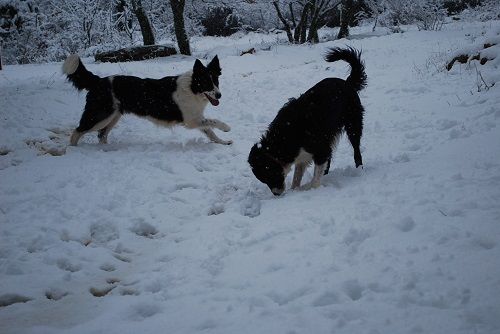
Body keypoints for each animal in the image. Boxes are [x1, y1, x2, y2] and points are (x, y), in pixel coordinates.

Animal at [61, 54, 231, 145]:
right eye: (206, 83)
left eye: (216, 81)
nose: (219, 95)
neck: (192, 88)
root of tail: (98, 81)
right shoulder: (191, 120)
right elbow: (213, 122)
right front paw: (226, 127)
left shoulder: (196, 118)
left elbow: (210, 131)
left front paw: (223, 142)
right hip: (100, 115)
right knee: (77, 131)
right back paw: (74, 149)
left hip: (113, 117)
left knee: (101, 135)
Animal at [247, 46, 368, 196]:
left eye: (269, 176)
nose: (276, 194)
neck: (284, 139)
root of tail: (347, 82)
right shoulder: (304, 155)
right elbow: (297, 176)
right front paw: (295, 190)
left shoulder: (320, 148)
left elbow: (316, 176)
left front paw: (314, 188)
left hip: (353, 124)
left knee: (356, 150)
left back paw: (359, 169)